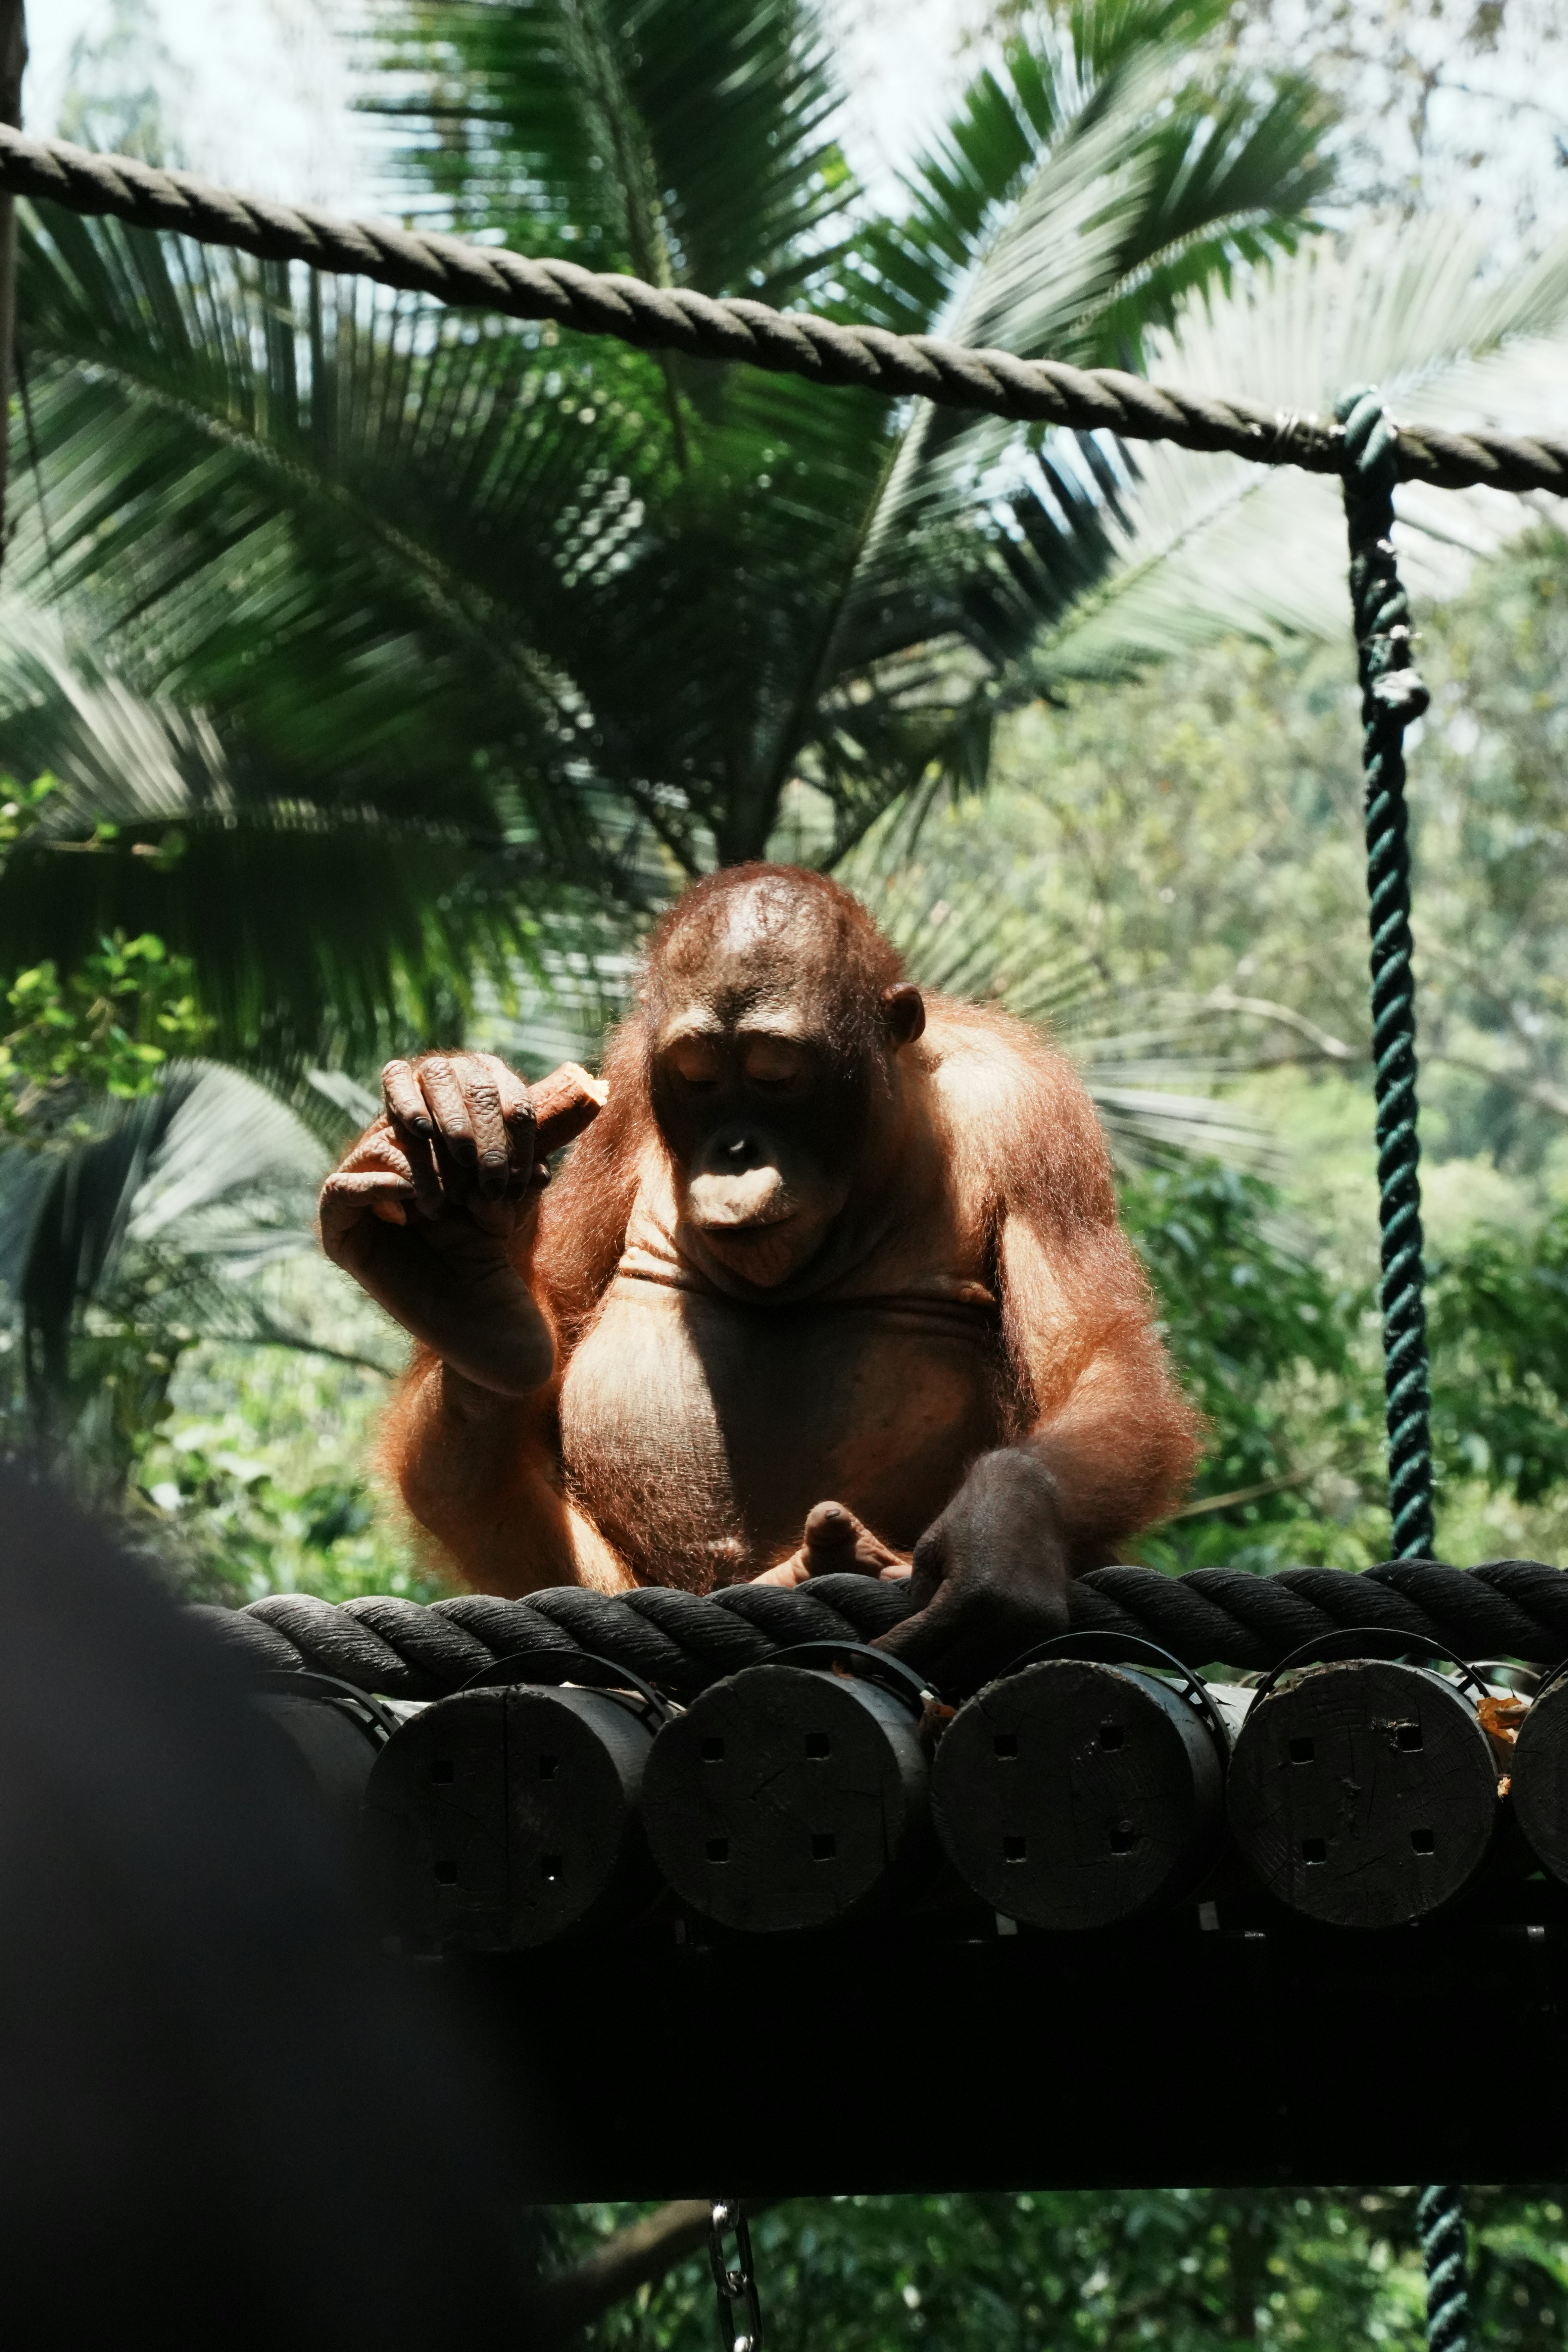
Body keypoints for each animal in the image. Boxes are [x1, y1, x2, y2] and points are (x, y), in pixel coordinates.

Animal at [320, 865, 1200, 1682]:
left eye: (777, 1072)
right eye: (698, 1076)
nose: (736, 1150)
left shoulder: (1034, 1113)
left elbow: (1098, 1362)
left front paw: (1000, 1532)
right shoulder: (623, 1098)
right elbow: (555, 1333)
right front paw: (450, 1143)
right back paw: (465, 1298)